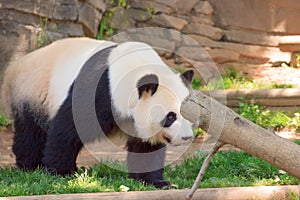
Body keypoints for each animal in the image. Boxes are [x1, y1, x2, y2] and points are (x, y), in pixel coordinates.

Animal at [1, 37, 195, 189]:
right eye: (171, 116)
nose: (187, 137)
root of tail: (18, 64)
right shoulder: (100, 89)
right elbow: (68, 128)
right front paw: (62, 172)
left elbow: (146, 148)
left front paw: (155, 181)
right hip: (34, 90)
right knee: (31, 131)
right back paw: (31, 165)